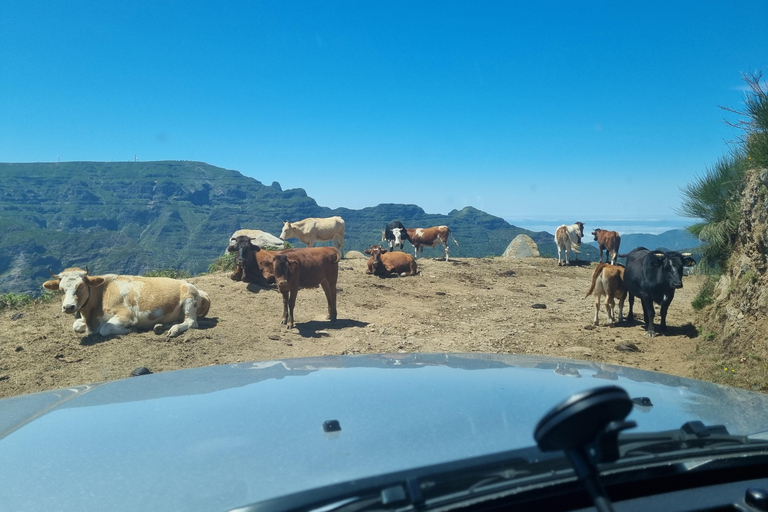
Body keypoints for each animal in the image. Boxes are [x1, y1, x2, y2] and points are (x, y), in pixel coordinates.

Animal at [41, 266, 210, 338]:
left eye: (81, 286)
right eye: (61, 290)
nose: (68, 307)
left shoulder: (126, 315)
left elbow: (105, 329)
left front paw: (131, 329)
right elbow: (76, 325)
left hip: (189, 299)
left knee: (191, 322)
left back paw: (174, 329)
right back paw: (160, 326)